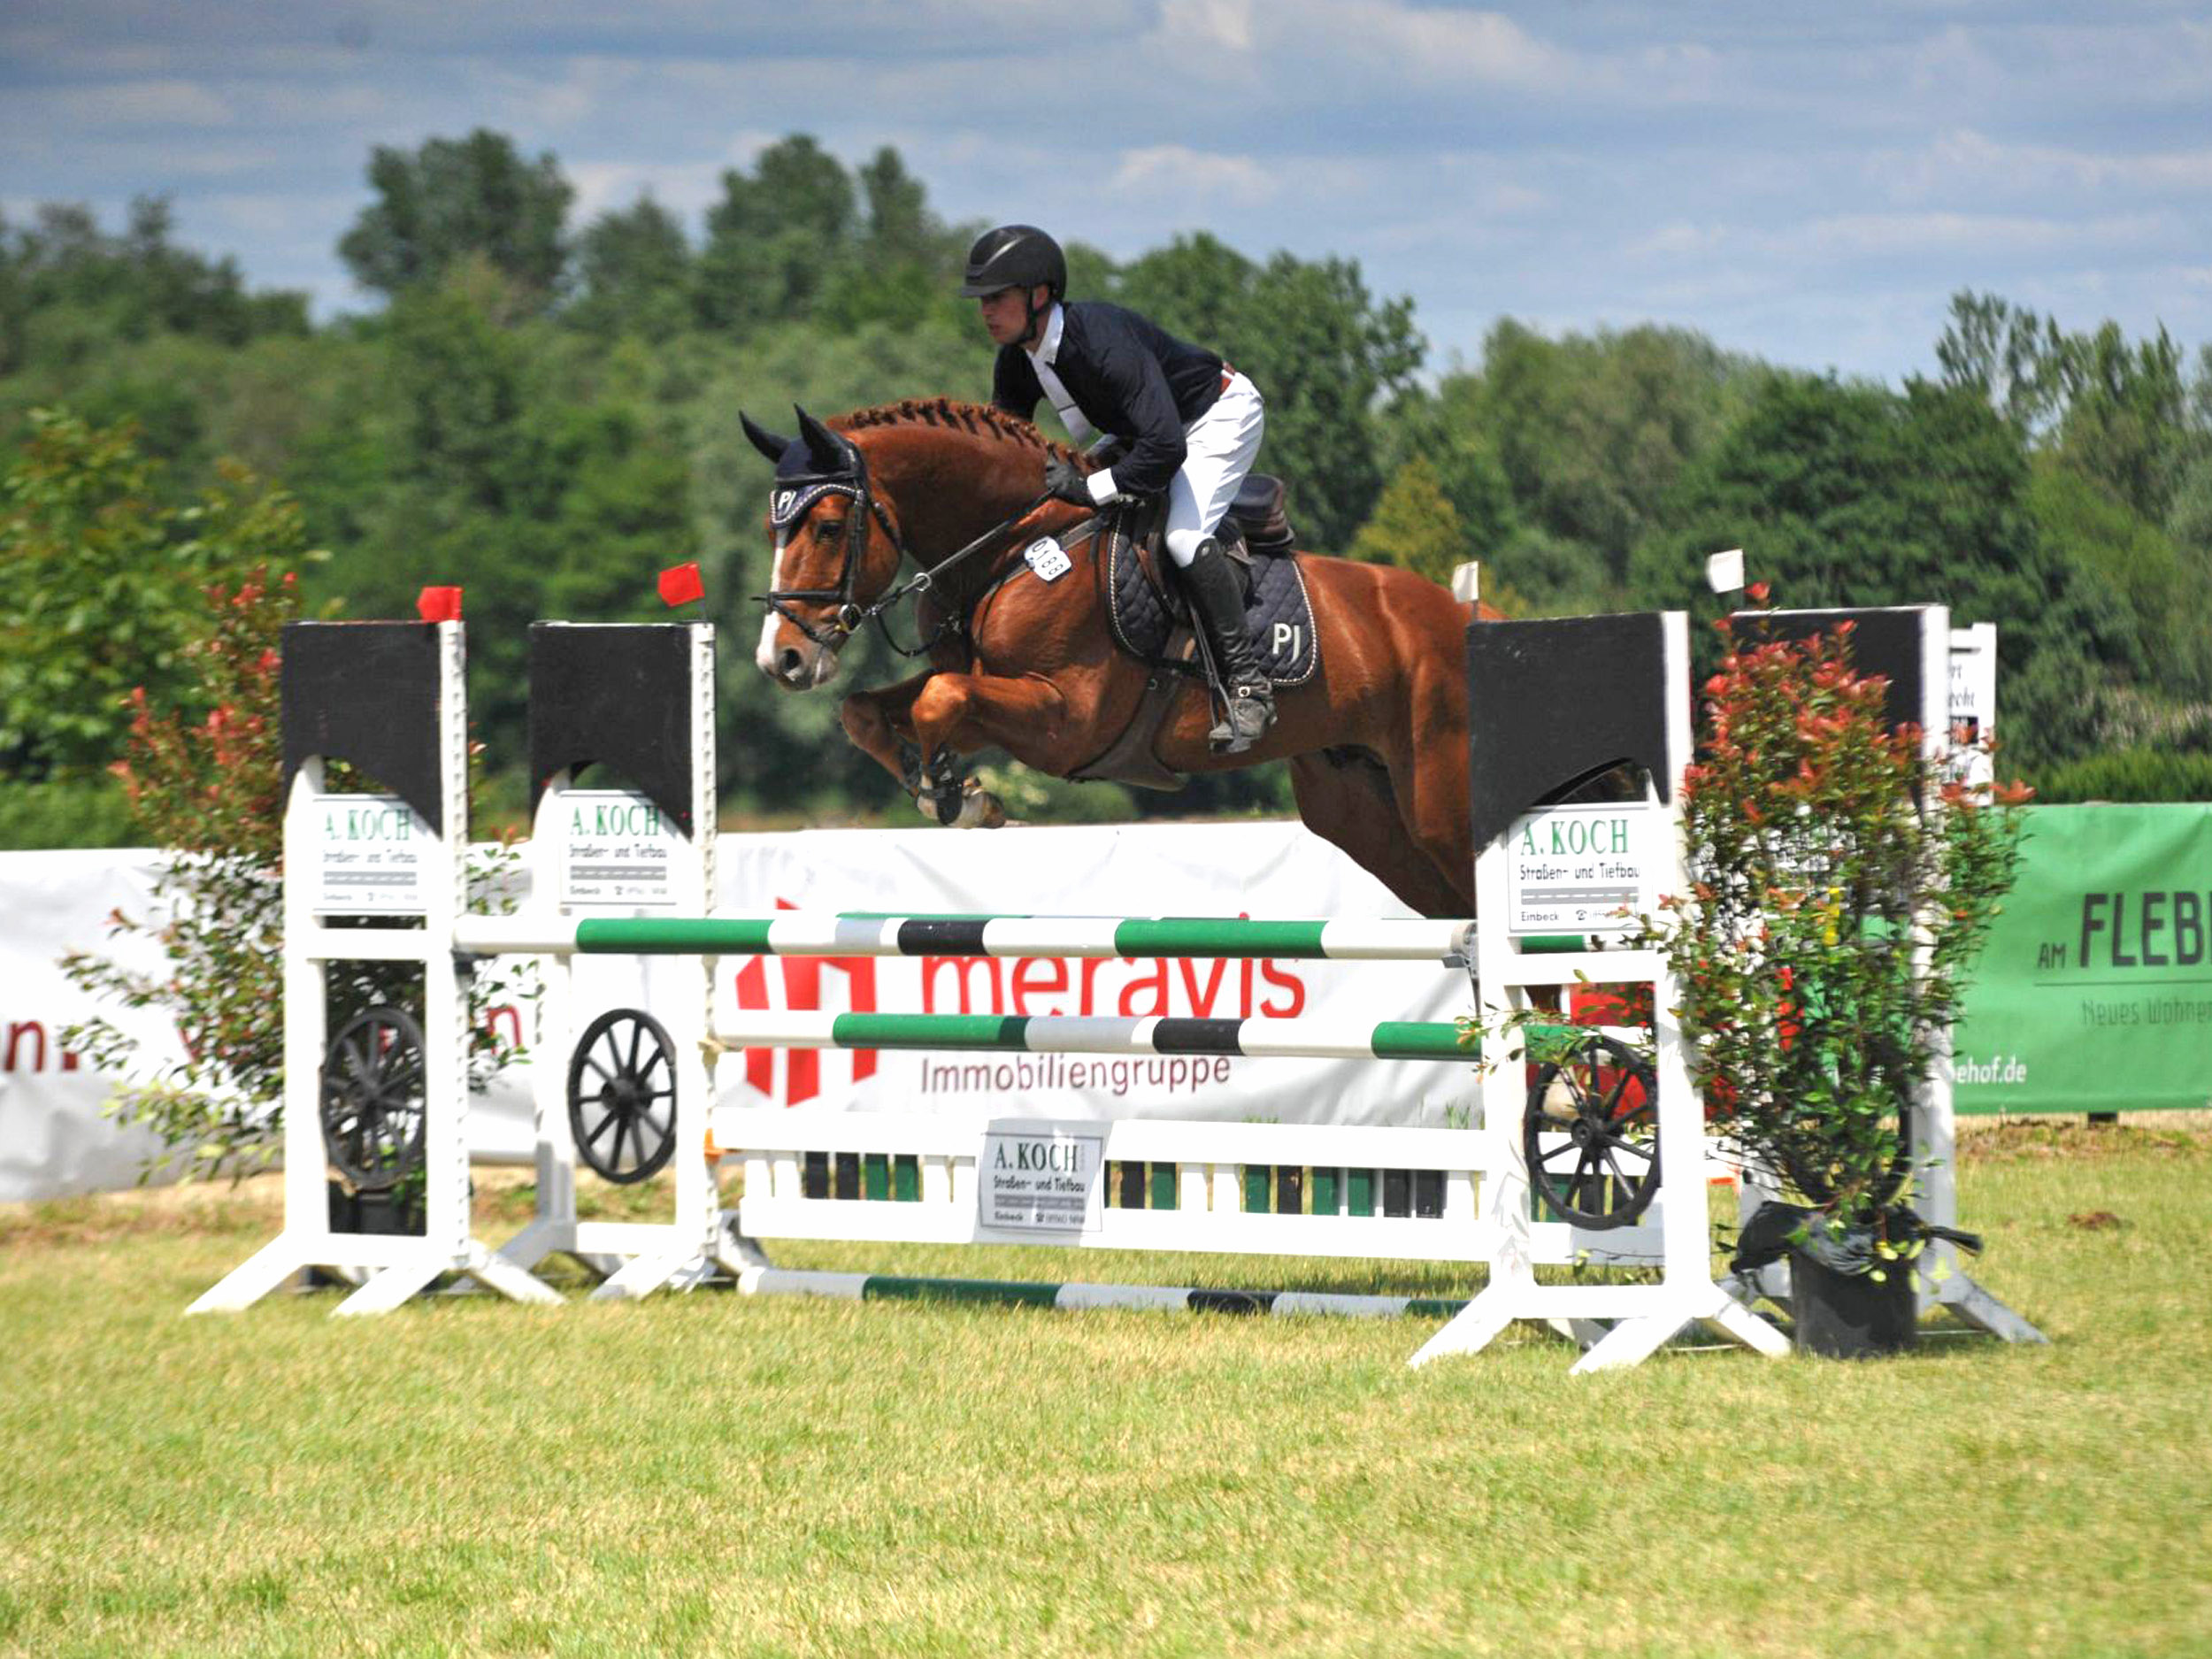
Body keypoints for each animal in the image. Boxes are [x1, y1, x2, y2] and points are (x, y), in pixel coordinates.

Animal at [743, 403, 1486, 925]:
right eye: (772, 528)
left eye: (828, 527)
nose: (782, 657)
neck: (1013, 545)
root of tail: (1470, 616)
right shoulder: (986, 683)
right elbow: (870, 709)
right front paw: (952, 792)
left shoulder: (1066, 721)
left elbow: (940, 701)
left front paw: (954, 791)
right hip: (1362, 813)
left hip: (1440, 807)